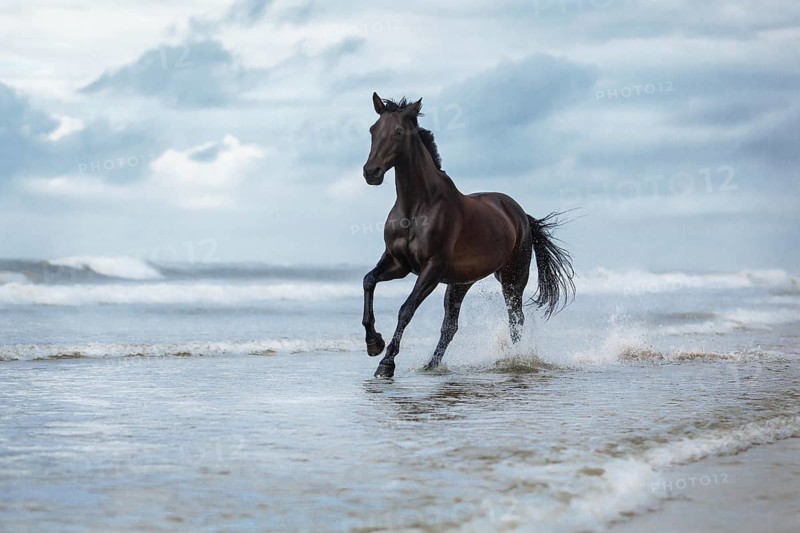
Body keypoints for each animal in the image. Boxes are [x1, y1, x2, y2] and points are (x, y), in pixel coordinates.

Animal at [361, 92, 574, 378]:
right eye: (373, 130)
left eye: (397, 131)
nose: (370, 172)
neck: (417, 207)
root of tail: (521, 215)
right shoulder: (398, 263)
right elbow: (368, 281)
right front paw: (374, 343)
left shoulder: (432, 269)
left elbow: (406, 309)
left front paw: (386, 363)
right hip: (460, 283)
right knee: (450, 325)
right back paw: (431, 365)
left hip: (512, 279)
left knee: (515, 321)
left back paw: (517, 361)